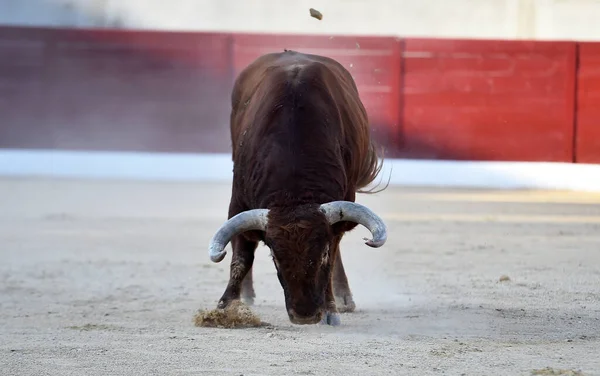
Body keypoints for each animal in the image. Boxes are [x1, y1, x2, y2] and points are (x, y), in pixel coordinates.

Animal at [207, 50, 390, 326]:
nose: (305, 316)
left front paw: (331, 309)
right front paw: (226, 306)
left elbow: (333, 256)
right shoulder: (238, 199)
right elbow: (241, 257)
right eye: (275, 257)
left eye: (321, 254)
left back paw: (343, 299)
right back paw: (247, 296)